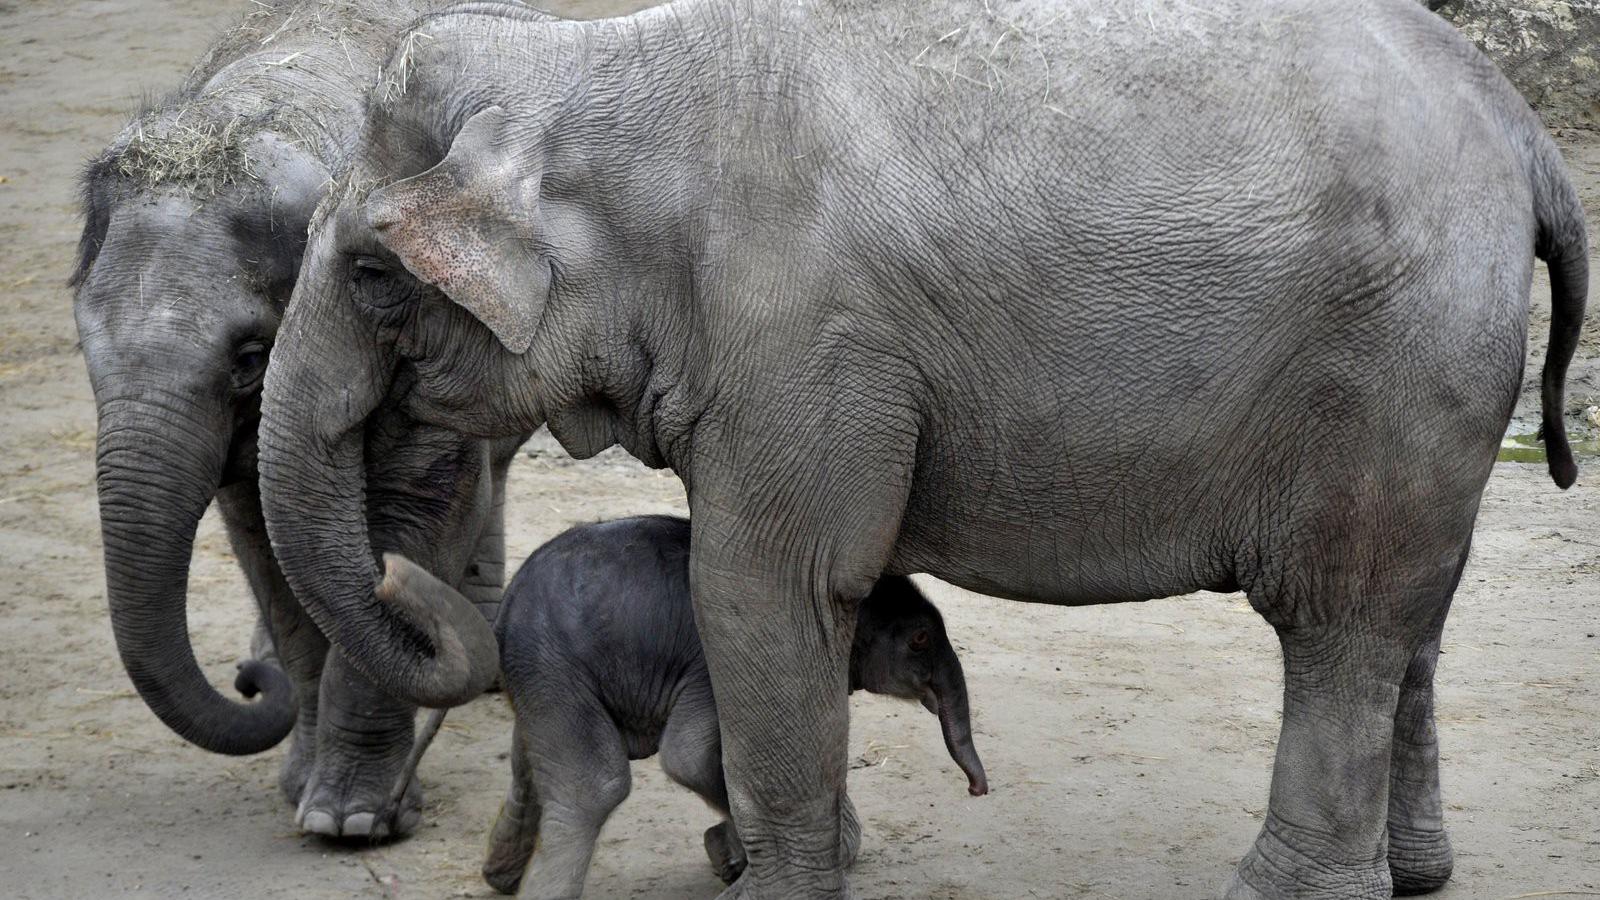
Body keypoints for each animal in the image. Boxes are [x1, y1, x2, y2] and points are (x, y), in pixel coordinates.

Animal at [70, 0, 531, 839]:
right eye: (84, 347)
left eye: (251, 355)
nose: (250, 683)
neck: (272, 115)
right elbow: (265, 542)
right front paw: (302, 790)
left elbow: (417, 509)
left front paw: (353, 822)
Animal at [473, 515, 985, 890]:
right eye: (920, 639)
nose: (977, 789)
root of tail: (508, 605)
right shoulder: (712, 665)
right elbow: (690, 758)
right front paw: (736, 855)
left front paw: (727, 854)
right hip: (552, 660)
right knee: (595, 787)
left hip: (543, 673)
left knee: (528, 760)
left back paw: (500, 876)